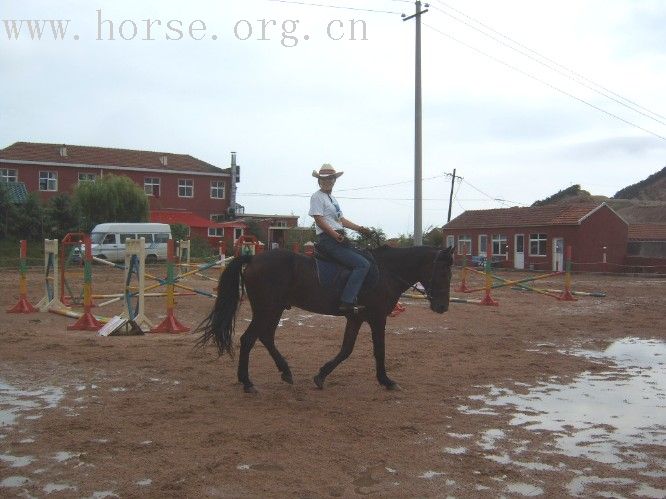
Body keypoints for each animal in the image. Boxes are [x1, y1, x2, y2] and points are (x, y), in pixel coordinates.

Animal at [195, 244, 454, 392]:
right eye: (443, 272)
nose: (442, 306)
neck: (386, 271)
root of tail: (253, 258)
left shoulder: (356, 318)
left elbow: (346, 349)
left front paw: (321, 375)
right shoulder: (377, 317)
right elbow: (379, 350)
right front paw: (386, 381)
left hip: (274, 309)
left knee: (265, 337)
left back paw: (284, 372)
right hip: (267, 308)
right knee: (249, 339)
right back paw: (247, 382)